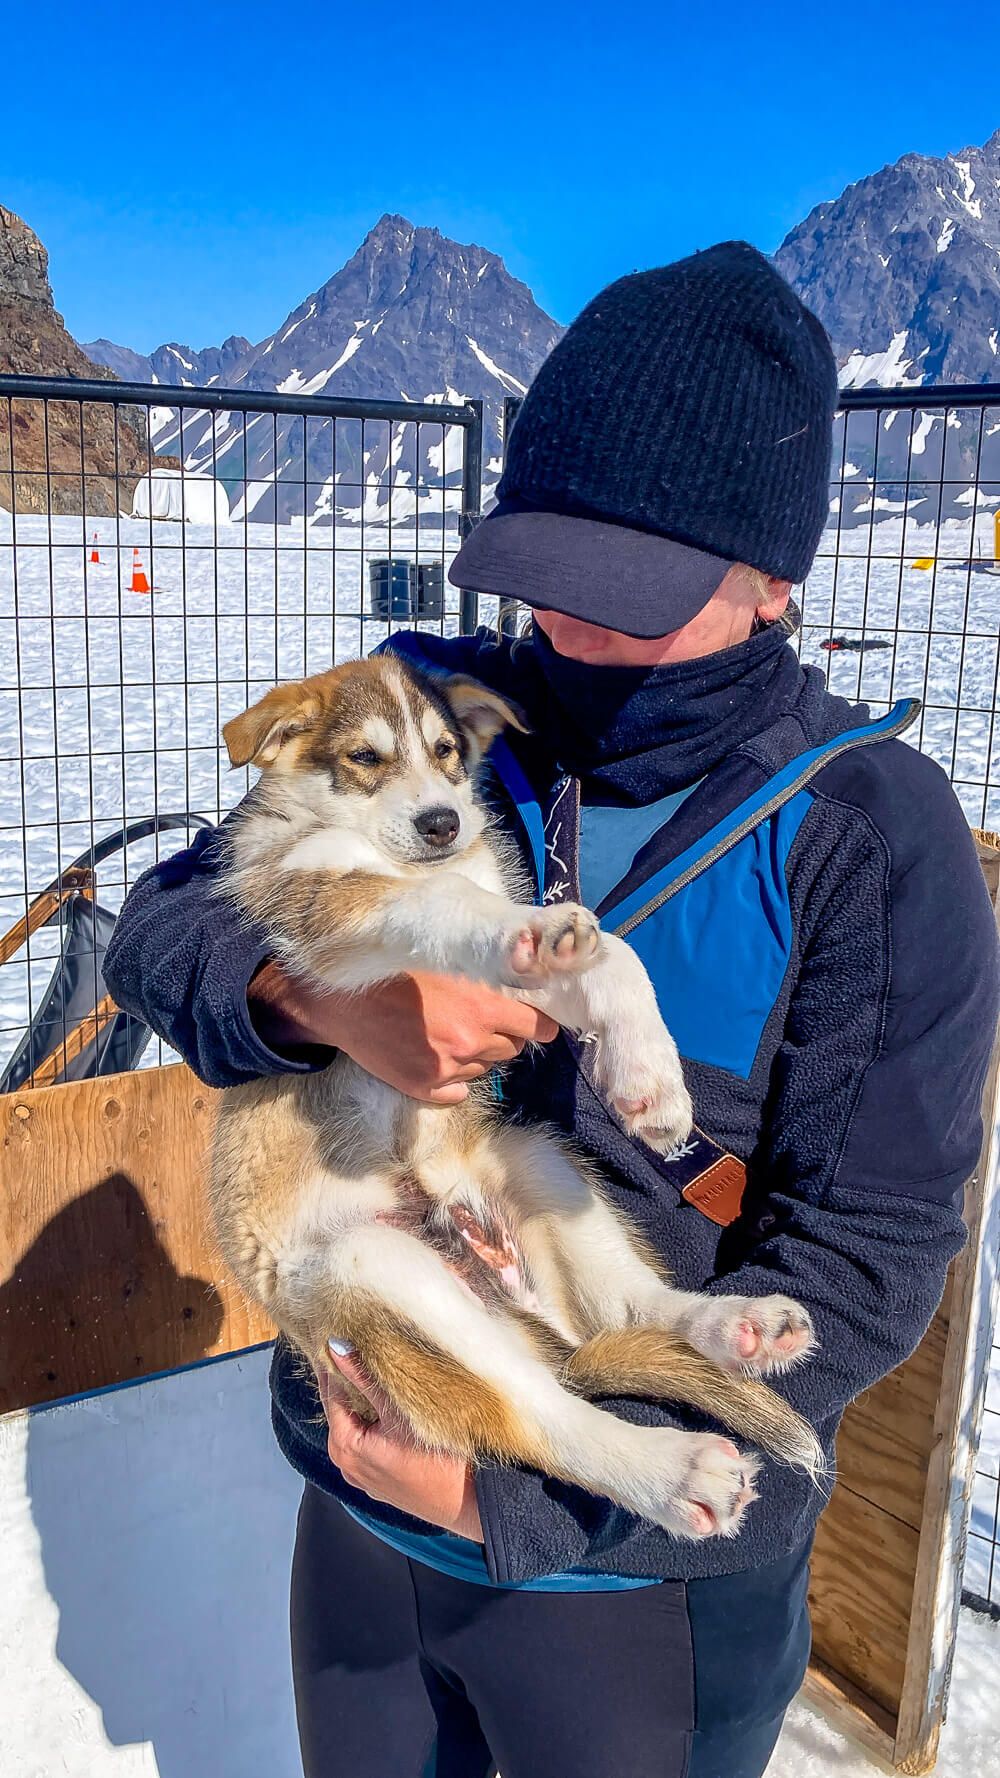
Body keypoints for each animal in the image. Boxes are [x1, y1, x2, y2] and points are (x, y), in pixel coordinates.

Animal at [209, 657, 818, 1543]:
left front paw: (649, 1078)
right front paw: (527, 931)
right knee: (545, 1416)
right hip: (376, 1269)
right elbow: (450, 908)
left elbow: (614, 955)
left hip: (530, 1158)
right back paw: (670, 1471)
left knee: (631, 1308)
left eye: (447, 750)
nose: (443, 822)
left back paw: (738, 1325)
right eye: (364, 758)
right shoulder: (336, 906)